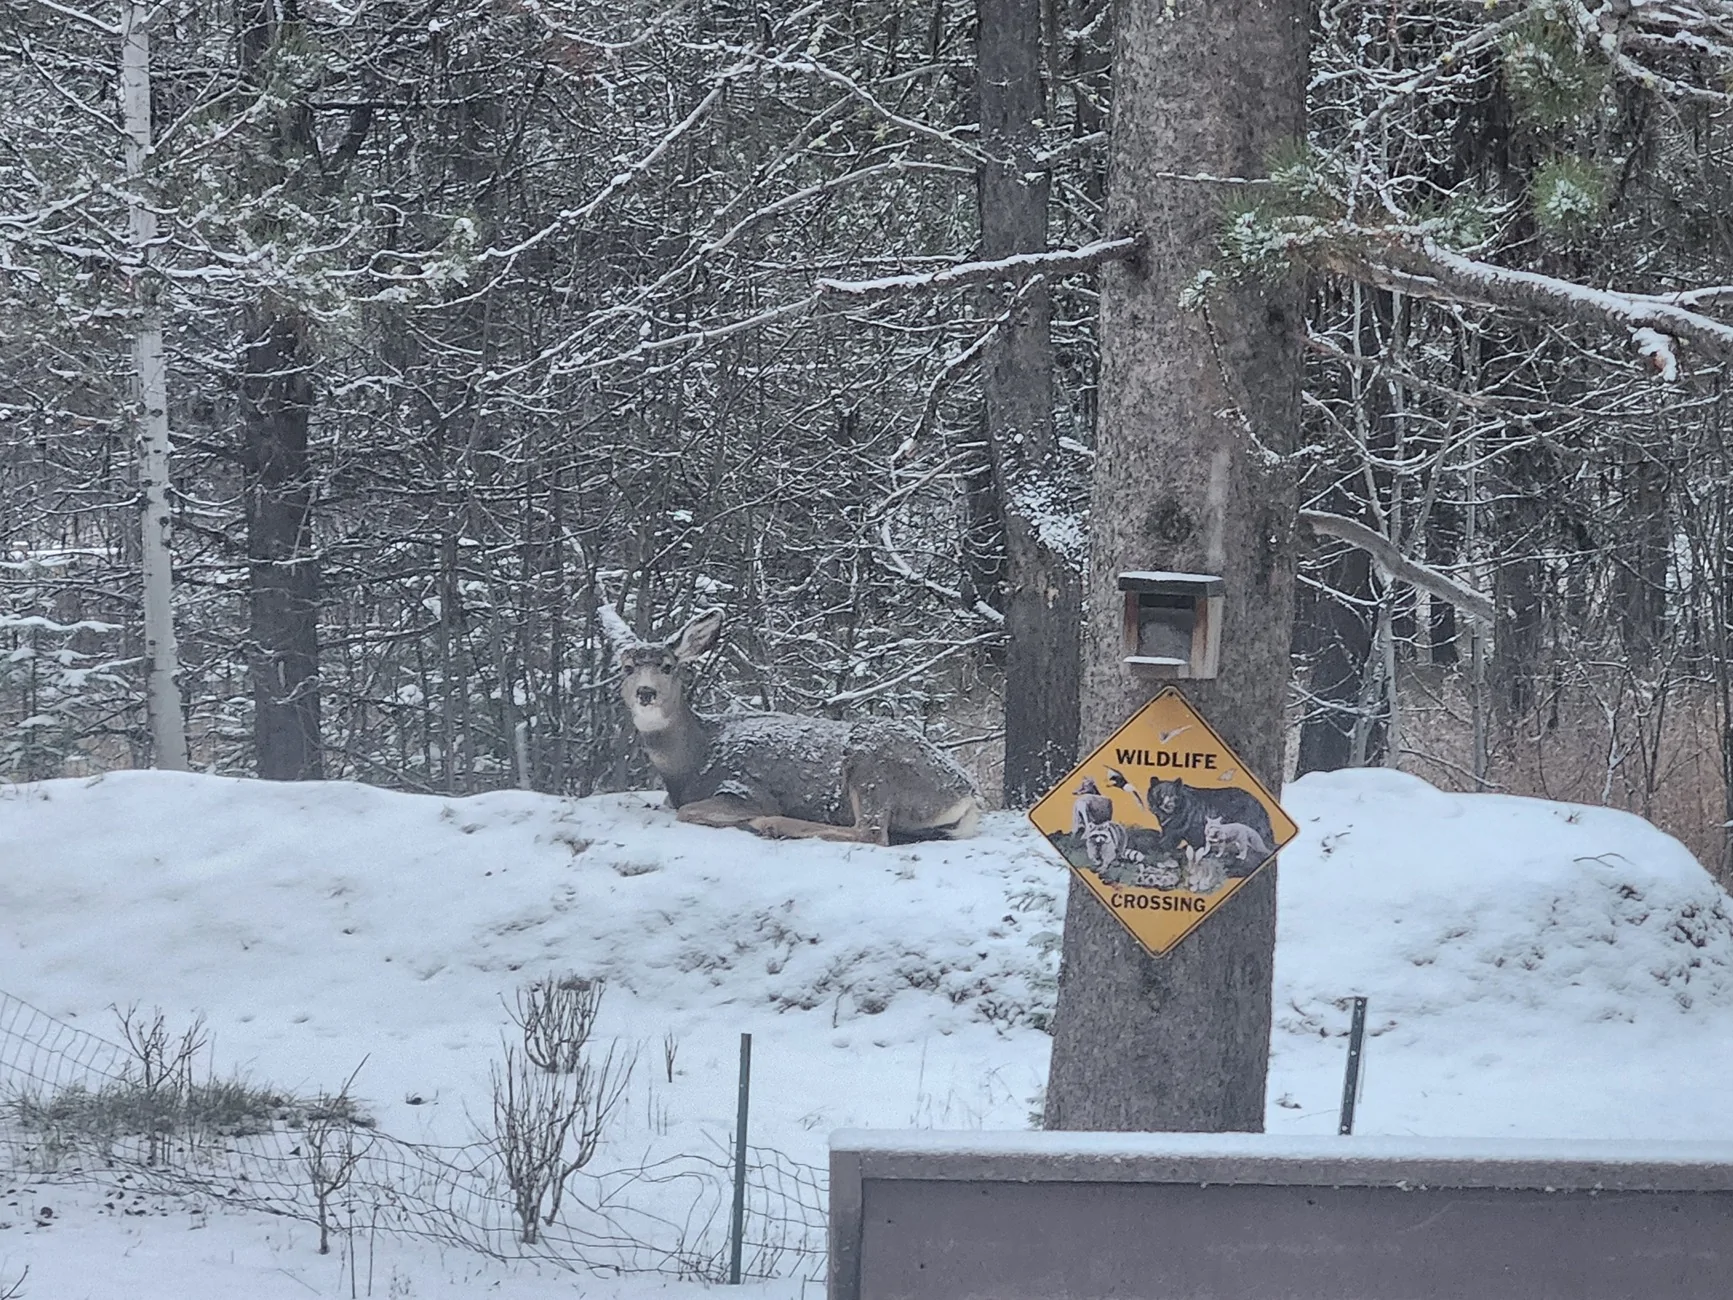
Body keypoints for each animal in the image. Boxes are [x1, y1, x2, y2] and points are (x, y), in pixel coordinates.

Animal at [606, 607, 982, 845]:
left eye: (668, 666)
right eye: (626, 668)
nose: (646, 692)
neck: (694, 759)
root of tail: (966, 792)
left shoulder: (746, 788)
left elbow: (687, 811)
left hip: (872, 764)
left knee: (873, 833)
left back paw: (771, 825)